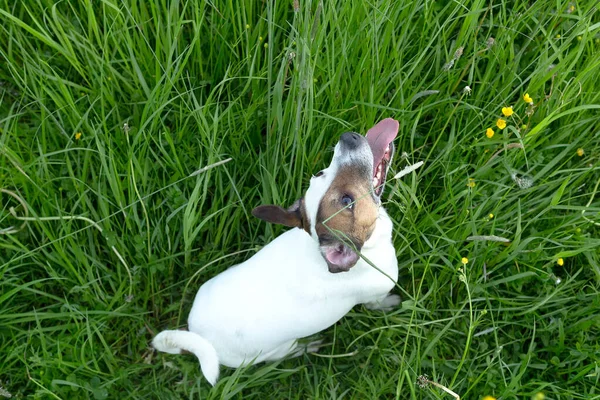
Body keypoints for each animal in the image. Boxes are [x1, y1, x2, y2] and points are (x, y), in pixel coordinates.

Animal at [152, 118, 400, 384]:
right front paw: (392, 303)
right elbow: (379, 303)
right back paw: (307, 347)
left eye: (319, 173)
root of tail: (199, 338)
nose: (348, 138)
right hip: (276, 350)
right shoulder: (376, 294)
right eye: (347, 201)